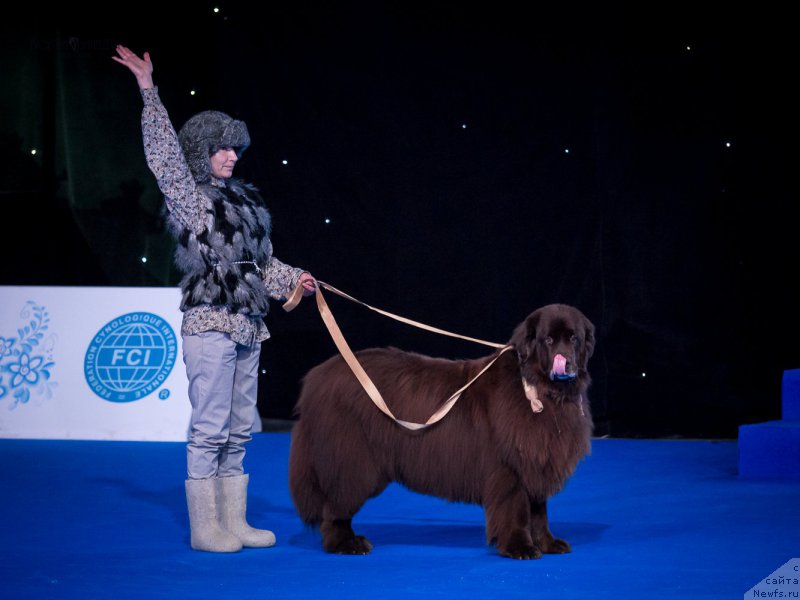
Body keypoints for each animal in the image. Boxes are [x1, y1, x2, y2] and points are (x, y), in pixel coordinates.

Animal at [288, 302, 592, 560]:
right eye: (548, 340)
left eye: (574, 339)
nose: (565, 361)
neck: (538, 390)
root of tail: (317, 377)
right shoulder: (511, 469)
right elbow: (516, 510)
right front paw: (520, 547)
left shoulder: (537, 462)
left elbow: (539, 512)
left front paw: (548, 543)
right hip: (354, 463)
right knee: (335, 507)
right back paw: (346, 543)